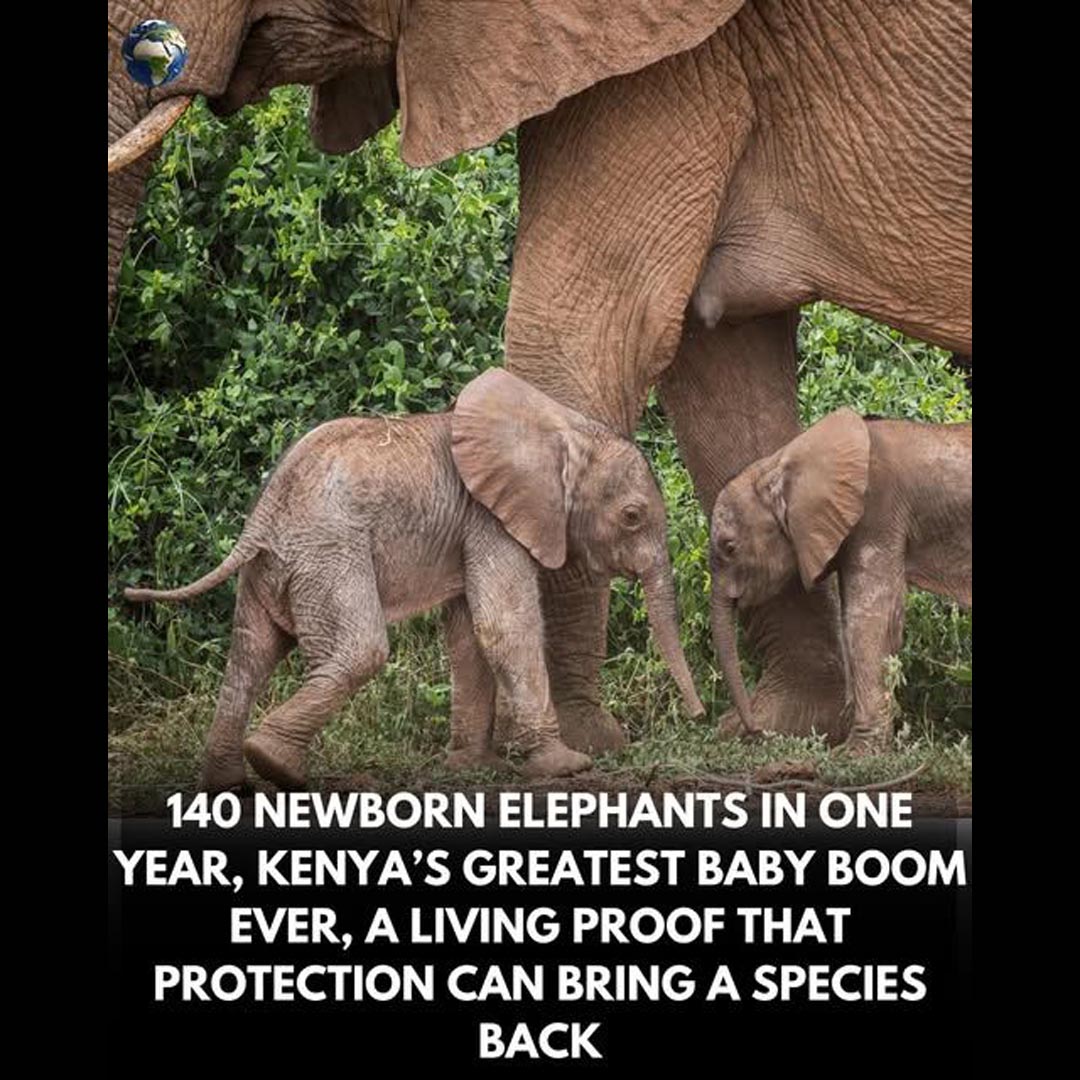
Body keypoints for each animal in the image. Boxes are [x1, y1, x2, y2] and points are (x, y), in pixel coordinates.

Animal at [123, 368, 705, 790]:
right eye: (632, 517)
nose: (699, 716)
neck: (560, 429)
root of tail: (262, 516)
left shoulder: (473, 525)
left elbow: (469, 635)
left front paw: (476, 768)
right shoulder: (490, 519)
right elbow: (505, 626)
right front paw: (567, 766)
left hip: (276, 566)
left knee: (249, 653)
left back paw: (231, 784)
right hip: (328, 554)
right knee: (358, 650)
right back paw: (276, 768)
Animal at [709, 409, 972, 754]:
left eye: (729, 547)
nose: (752, 730)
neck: (782, 462)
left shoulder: (877, 514)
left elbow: (866, 620)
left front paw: (855, 753)